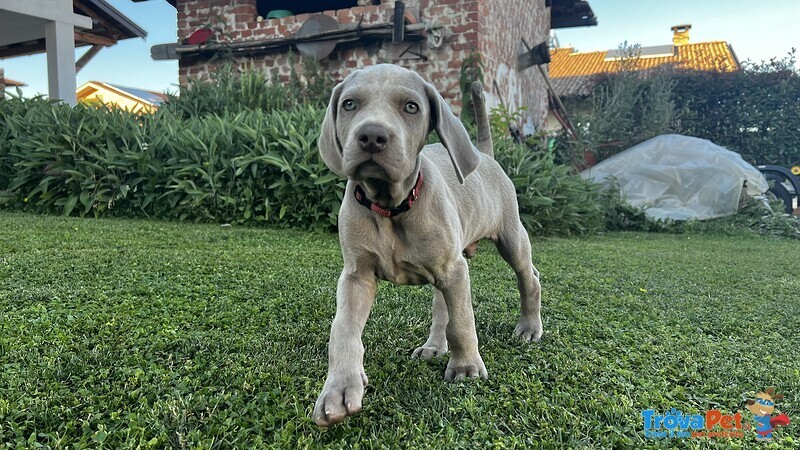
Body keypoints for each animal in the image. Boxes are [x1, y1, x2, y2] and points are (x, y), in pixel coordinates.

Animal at [312, 63, 544, 426]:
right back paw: (434, 346)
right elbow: (343, 329)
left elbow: (462, 323)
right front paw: (340, 387)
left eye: (411, 107)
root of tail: (484, 155)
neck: (391, 206)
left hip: (509, 237)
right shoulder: (356, 276)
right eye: (349, 104)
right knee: (441, 309)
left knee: (528, 277)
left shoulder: (454, 269)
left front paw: (466, 368)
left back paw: (529, 328)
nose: (372, 137)